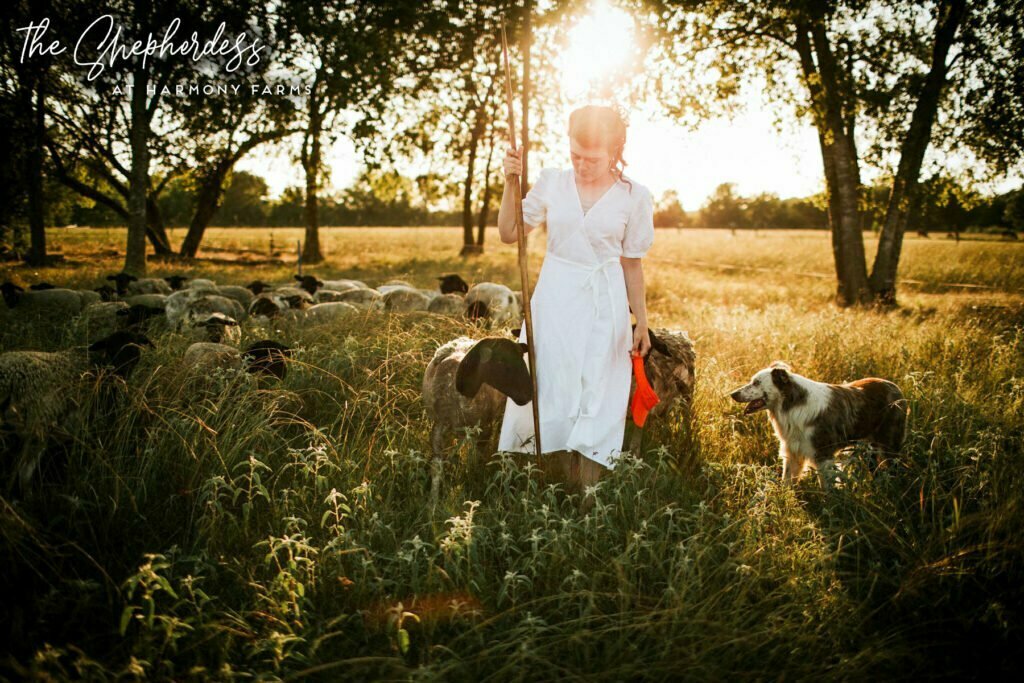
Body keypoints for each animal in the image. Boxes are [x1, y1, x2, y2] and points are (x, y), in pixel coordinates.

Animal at [0, 331, 151, 489]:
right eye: (111, 348)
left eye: (135, 349)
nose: (121, 375)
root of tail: (8, 379)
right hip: (36, 429)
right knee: (24, 473)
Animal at [421, 335, 532, 501]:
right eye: (501, 362)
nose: (528, 394)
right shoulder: (438, 427)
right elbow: (437, 467)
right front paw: (432, 503)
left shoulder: (484, 430)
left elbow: (474, 463)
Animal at [733, 362, 909, 485]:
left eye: (756, 383)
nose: (732, 394)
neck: (791, 404)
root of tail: (895, 386)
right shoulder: (792, 451)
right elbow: (787, 481)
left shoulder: (823, 454)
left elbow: (827, 488)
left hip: (889, 444)